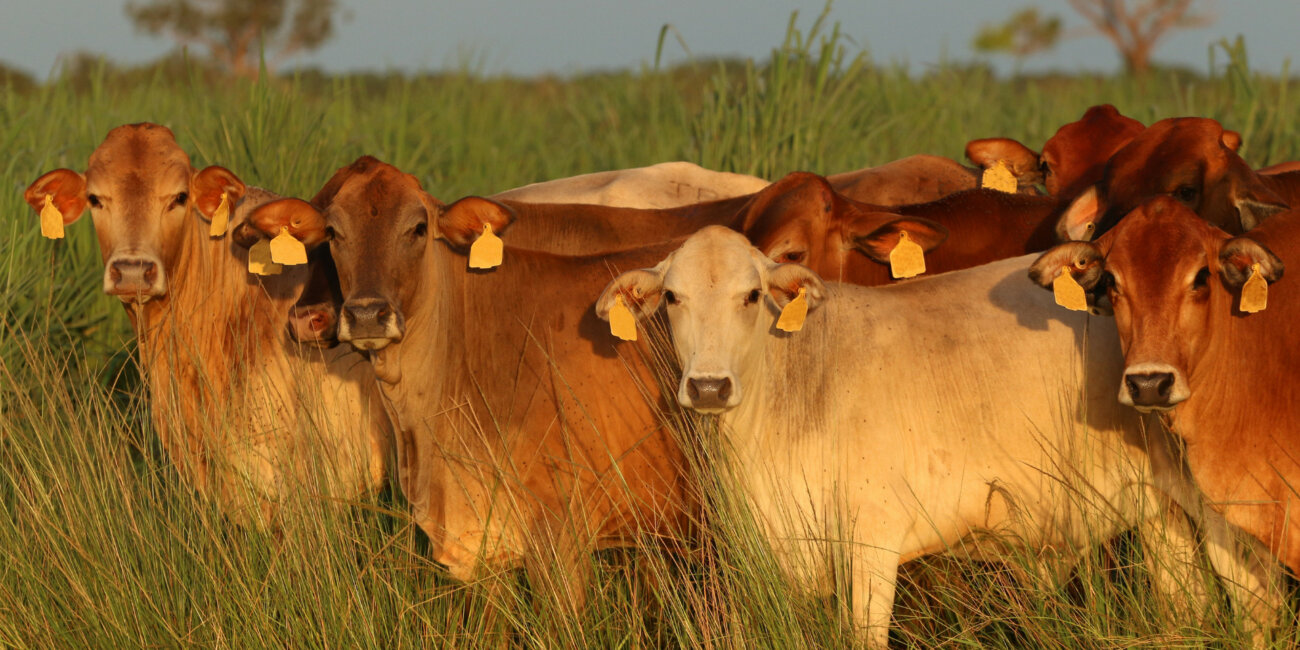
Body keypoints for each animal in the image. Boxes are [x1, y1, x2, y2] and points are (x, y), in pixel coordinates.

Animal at [600, 227, 1289, 644]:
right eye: (672, 297)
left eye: (751, 296)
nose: (708, 386)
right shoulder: (767, 556)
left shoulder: (872, 545)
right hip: (1161, 515)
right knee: (1188, 609)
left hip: (1226, 511)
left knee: (1258, 608)